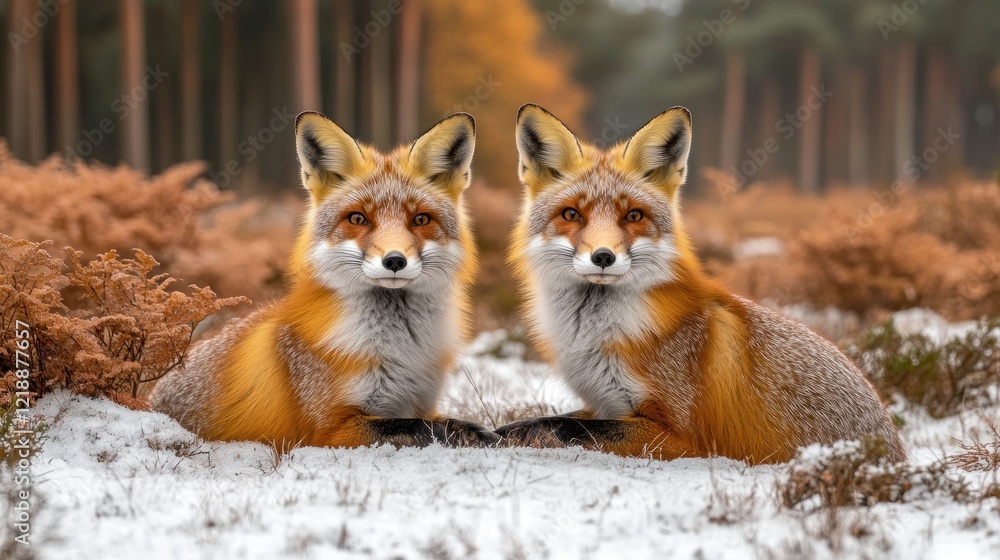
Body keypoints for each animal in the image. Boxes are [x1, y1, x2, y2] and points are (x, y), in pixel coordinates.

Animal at [151, 111, 499, 450]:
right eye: (358, 218)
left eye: (421, 219)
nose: (395, 261)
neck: (398, 351)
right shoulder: (328, 432)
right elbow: (418, 427)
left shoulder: (422, 403)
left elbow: (451, 423)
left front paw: (486, 434)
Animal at [495, 104, 905, 464]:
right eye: (571, 215)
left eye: (633, 216)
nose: (603, 257)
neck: (598, 338)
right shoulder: (604, 403)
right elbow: (543, 420)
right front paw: (489, 433)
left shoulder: (683, 436)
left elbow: (565, 427)